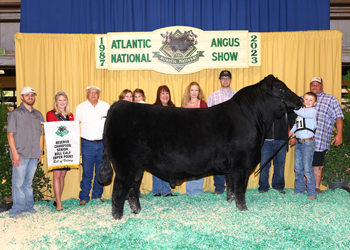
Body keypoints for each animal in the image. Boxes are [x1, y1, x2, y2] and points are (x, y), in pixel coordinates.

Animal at [98, 75, 304, 220]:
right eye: (281, 88)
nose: (301, 100)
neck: (253, 117)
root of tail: (119, 105)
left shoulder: (231, 167)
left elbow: (231, 186)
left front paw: (230, 203)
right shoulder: (242, 163)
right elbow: (240, 188)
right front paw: (243, 209)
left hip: (137, 168)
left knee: (132, 190)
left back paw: (137, 212)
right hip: (125, 166)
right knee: (118, 192)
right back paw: (118, 219)